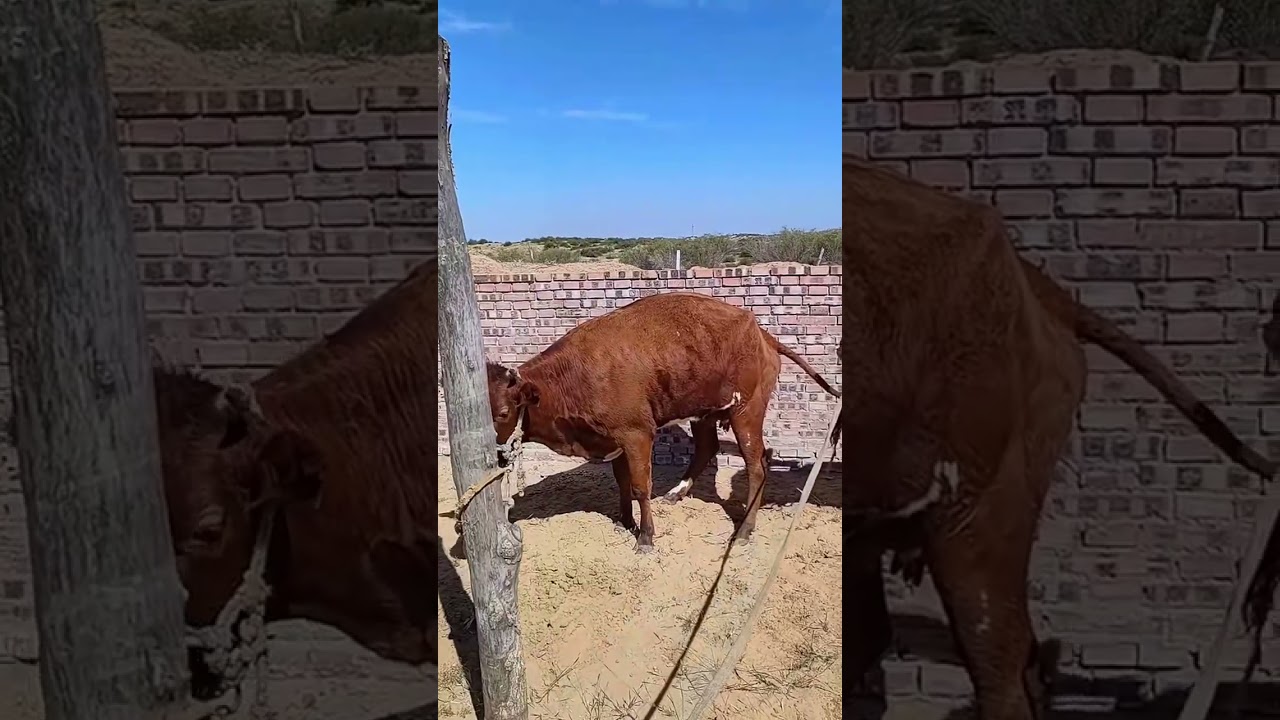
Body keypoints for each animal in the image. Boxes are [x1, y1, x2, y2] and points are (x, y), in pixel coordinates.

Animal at [484, 291, 840, 552]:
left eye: (502, 413)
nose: (493, 455)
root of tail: (760, 331)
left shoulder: (637, 434)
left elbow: (641, 487)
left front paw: (645, 537)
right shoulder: (616, 440)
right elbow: (623, 482)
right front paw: (625, 521)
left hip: (746, 413)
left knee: (757, 466)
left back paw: (744, 530)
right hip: (704, 413)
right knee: (707, 447)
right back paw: (677, 493)